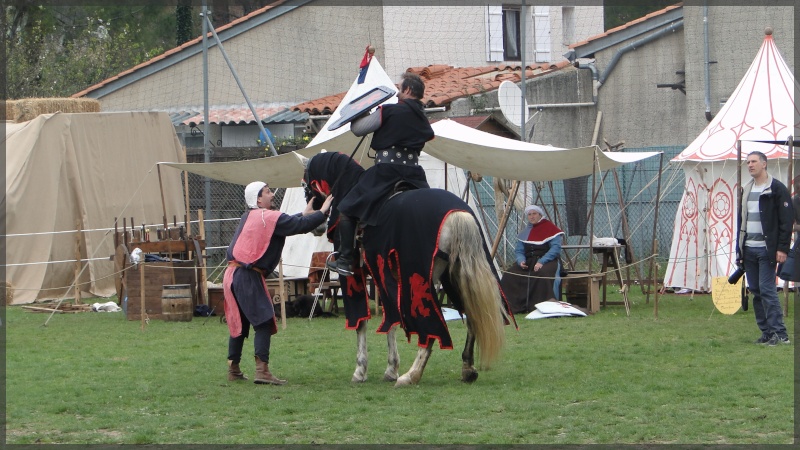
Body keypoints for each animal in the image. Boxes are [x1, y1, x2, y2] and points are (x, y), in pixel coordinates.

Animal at [304, 152, 516, 386]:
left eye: (306, 185)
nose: (316, 223)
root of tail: (457, 215)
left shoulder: (356, 278)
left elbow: (364, 323)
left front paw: (362, 370)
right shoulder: (382, 276)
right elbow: (391, 320)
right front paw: (390, 368)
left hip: (422, 281)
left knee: (431, 325)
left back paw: (412, 374)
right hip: (457, 276)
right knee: (472, 317)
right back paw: (467, 369)